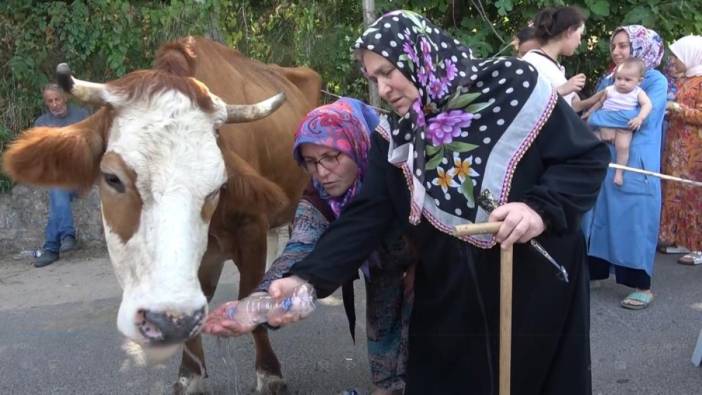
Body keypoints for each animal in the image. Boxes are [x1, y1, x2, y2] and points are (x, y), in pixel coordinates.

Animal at [2, 36, 322, 392]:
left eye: (218, 187)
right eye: (111, 178)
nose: (166, 321)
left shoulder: (250, 230)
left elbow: (250, 299)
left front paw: (268, 372)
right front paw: (190, 372)